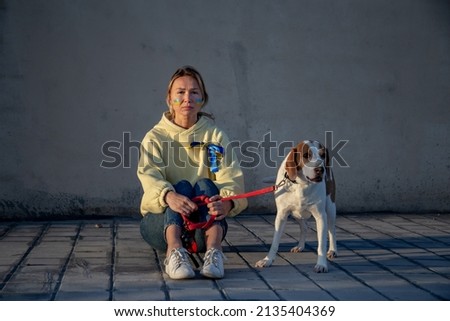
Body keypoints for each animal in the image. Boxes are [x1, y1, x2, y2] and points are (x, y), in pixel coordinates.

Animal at [255, 140, 336, 272]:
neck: (301, 185)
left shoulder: (320, 216)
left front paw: (322, 264)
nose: (320, 169)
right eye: (306, 155)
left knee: (332, 229)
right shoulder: (281, 215)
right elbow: (275, 242)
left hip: (330, 208)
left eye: (323, 155)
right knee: (304, 227)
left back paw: (333, 250)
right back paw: (300, 246)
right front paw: (268, 260)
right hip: (296, 214)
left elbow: (321, 245)